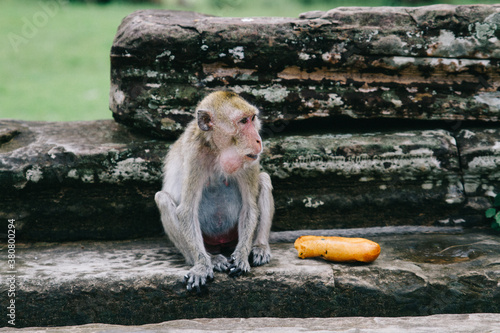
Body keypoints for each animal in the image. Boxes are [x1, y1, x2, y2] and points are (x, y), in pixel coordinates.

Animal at [155, 91, 276, 290]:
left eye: (252, 118)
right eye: (243, 121)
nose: (258, 140)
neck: (218, 150)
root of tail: (220, 243)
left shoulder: (250, 159)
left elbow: (249, 207)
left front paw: (241, 257)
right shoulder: (195, 156)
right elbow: (186, 210)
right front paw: (202, 267)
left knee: (264, 179)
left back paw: (260, 247)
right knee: (162, 198)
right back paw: (210, 259)